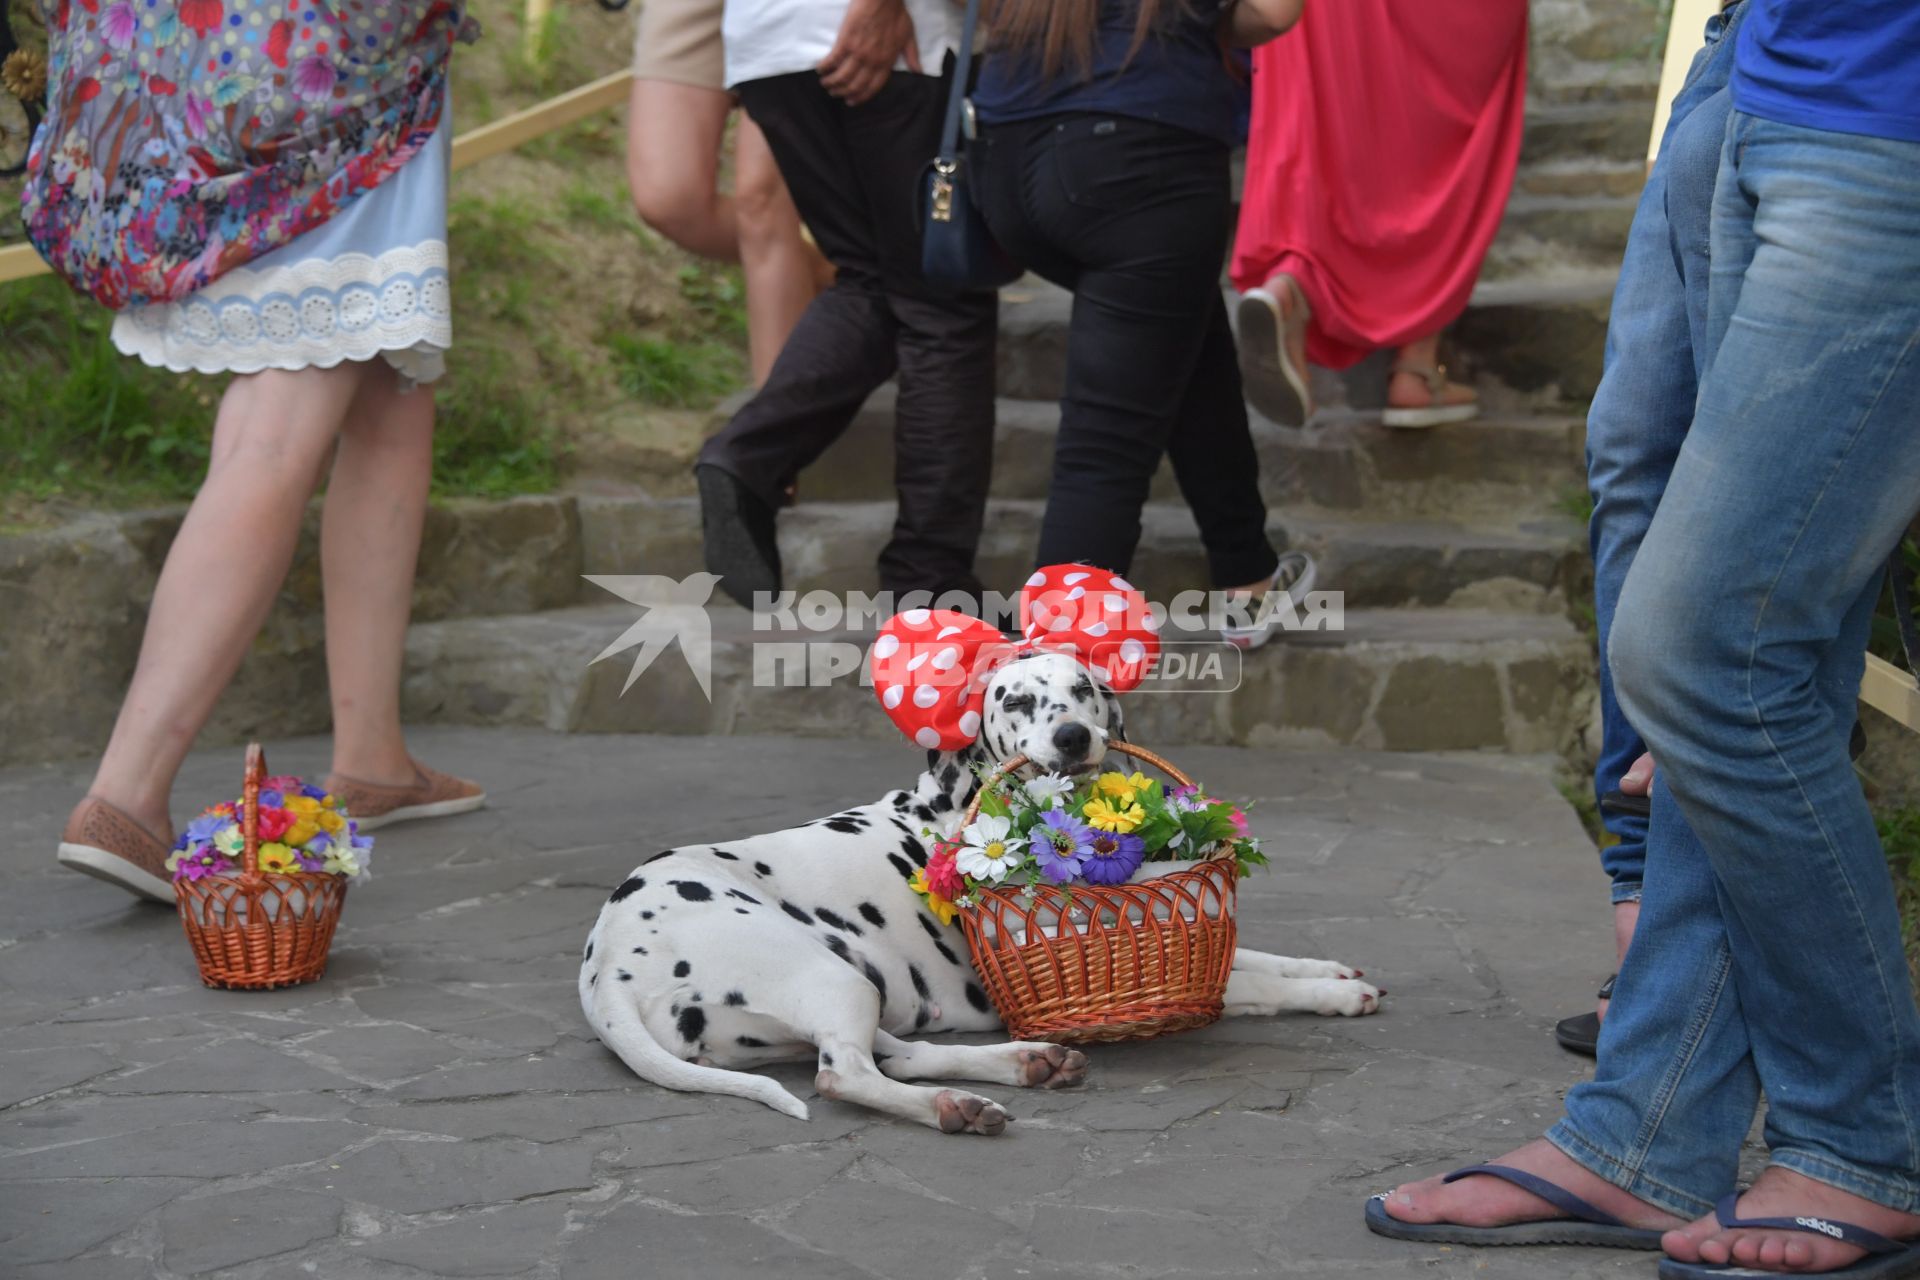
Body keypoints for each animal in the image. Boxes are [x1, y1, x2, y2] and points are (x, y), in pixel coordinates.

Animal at [576, 652, 1390, 1128]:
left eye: (1084, 692)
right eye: (1018, 702)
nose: (1072, 736)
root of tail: (608, 968)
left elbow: (1248, 953)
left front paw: (1326, 970)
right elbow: (1240, 984)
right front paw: (1333, 995)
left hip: (845, 991)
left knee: (894, 1055)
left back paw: (1021, 1063)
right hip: (826, 973)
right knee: (847, 1076)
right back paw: (953, 1105)